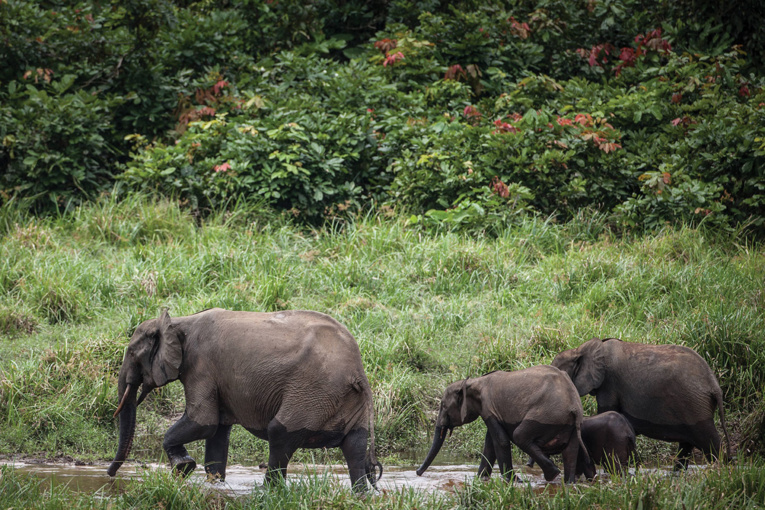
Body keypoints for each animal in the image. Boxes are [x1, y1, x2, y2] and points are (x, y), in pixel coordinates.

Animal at [107, 308, 382, 491]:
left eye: (131, 353)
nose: (110, 474)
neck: (177, 321)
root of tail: (358, 372)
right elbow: (217, 433)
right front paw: (214, 486)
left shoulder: (201, 367)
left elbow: (203, 423)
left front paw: (183, 467)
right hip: (342, 397)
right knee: (355, 445)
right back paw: (361, 494)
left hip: (313, 392)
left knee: (280, 433)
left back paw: (268, 491)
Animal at [416, 365, 588, 484]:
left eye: (443, 406)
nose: (417, 472)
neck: (473, 382)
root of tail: (574, 406)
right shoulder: (490, 412)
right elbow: (490, 445)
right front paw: (480, 479)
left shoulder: (488, 407)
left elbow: (501, 441)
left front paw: (513, 481)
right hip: (569, 423)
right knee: (571, 451)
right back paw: (568, 483)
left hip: (547, 414)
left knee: (520, 436)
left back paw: (552, 475)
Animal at [552, 337, 730, 469]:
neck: (579, 350)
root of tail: (714, 385)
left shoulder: (609, 383)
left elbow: (606, 410)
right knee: (686, 447)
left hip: (695, 406)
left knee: (710, 443)